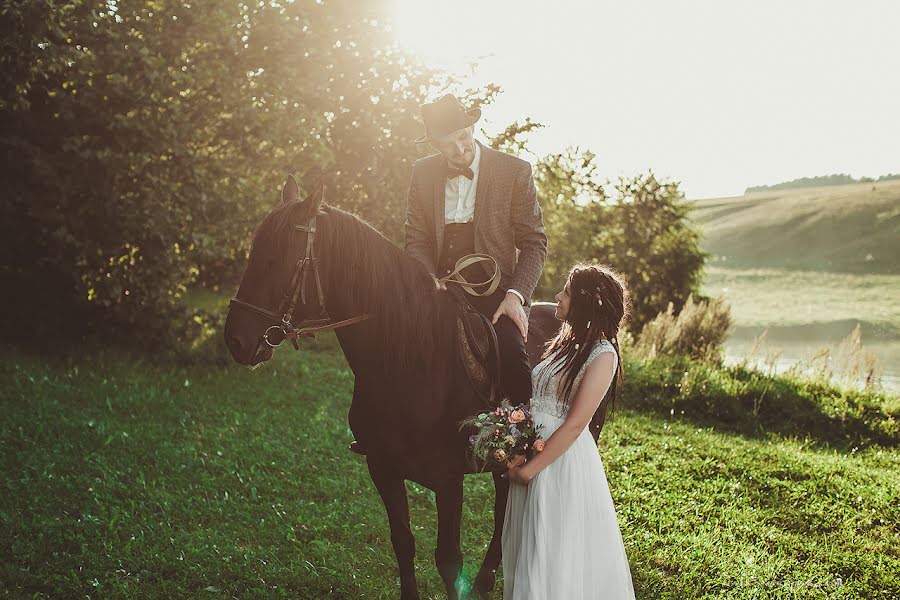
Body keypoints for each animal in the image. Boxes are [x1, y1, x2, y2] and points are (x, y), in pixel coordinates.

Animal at [224, 176, 564, 596]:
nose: (236, 340)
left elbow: (448, 560)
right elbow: (403, 543)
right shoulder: (382, 467)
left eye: (276, 260)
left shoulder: (448, 480)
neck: (410, 363)